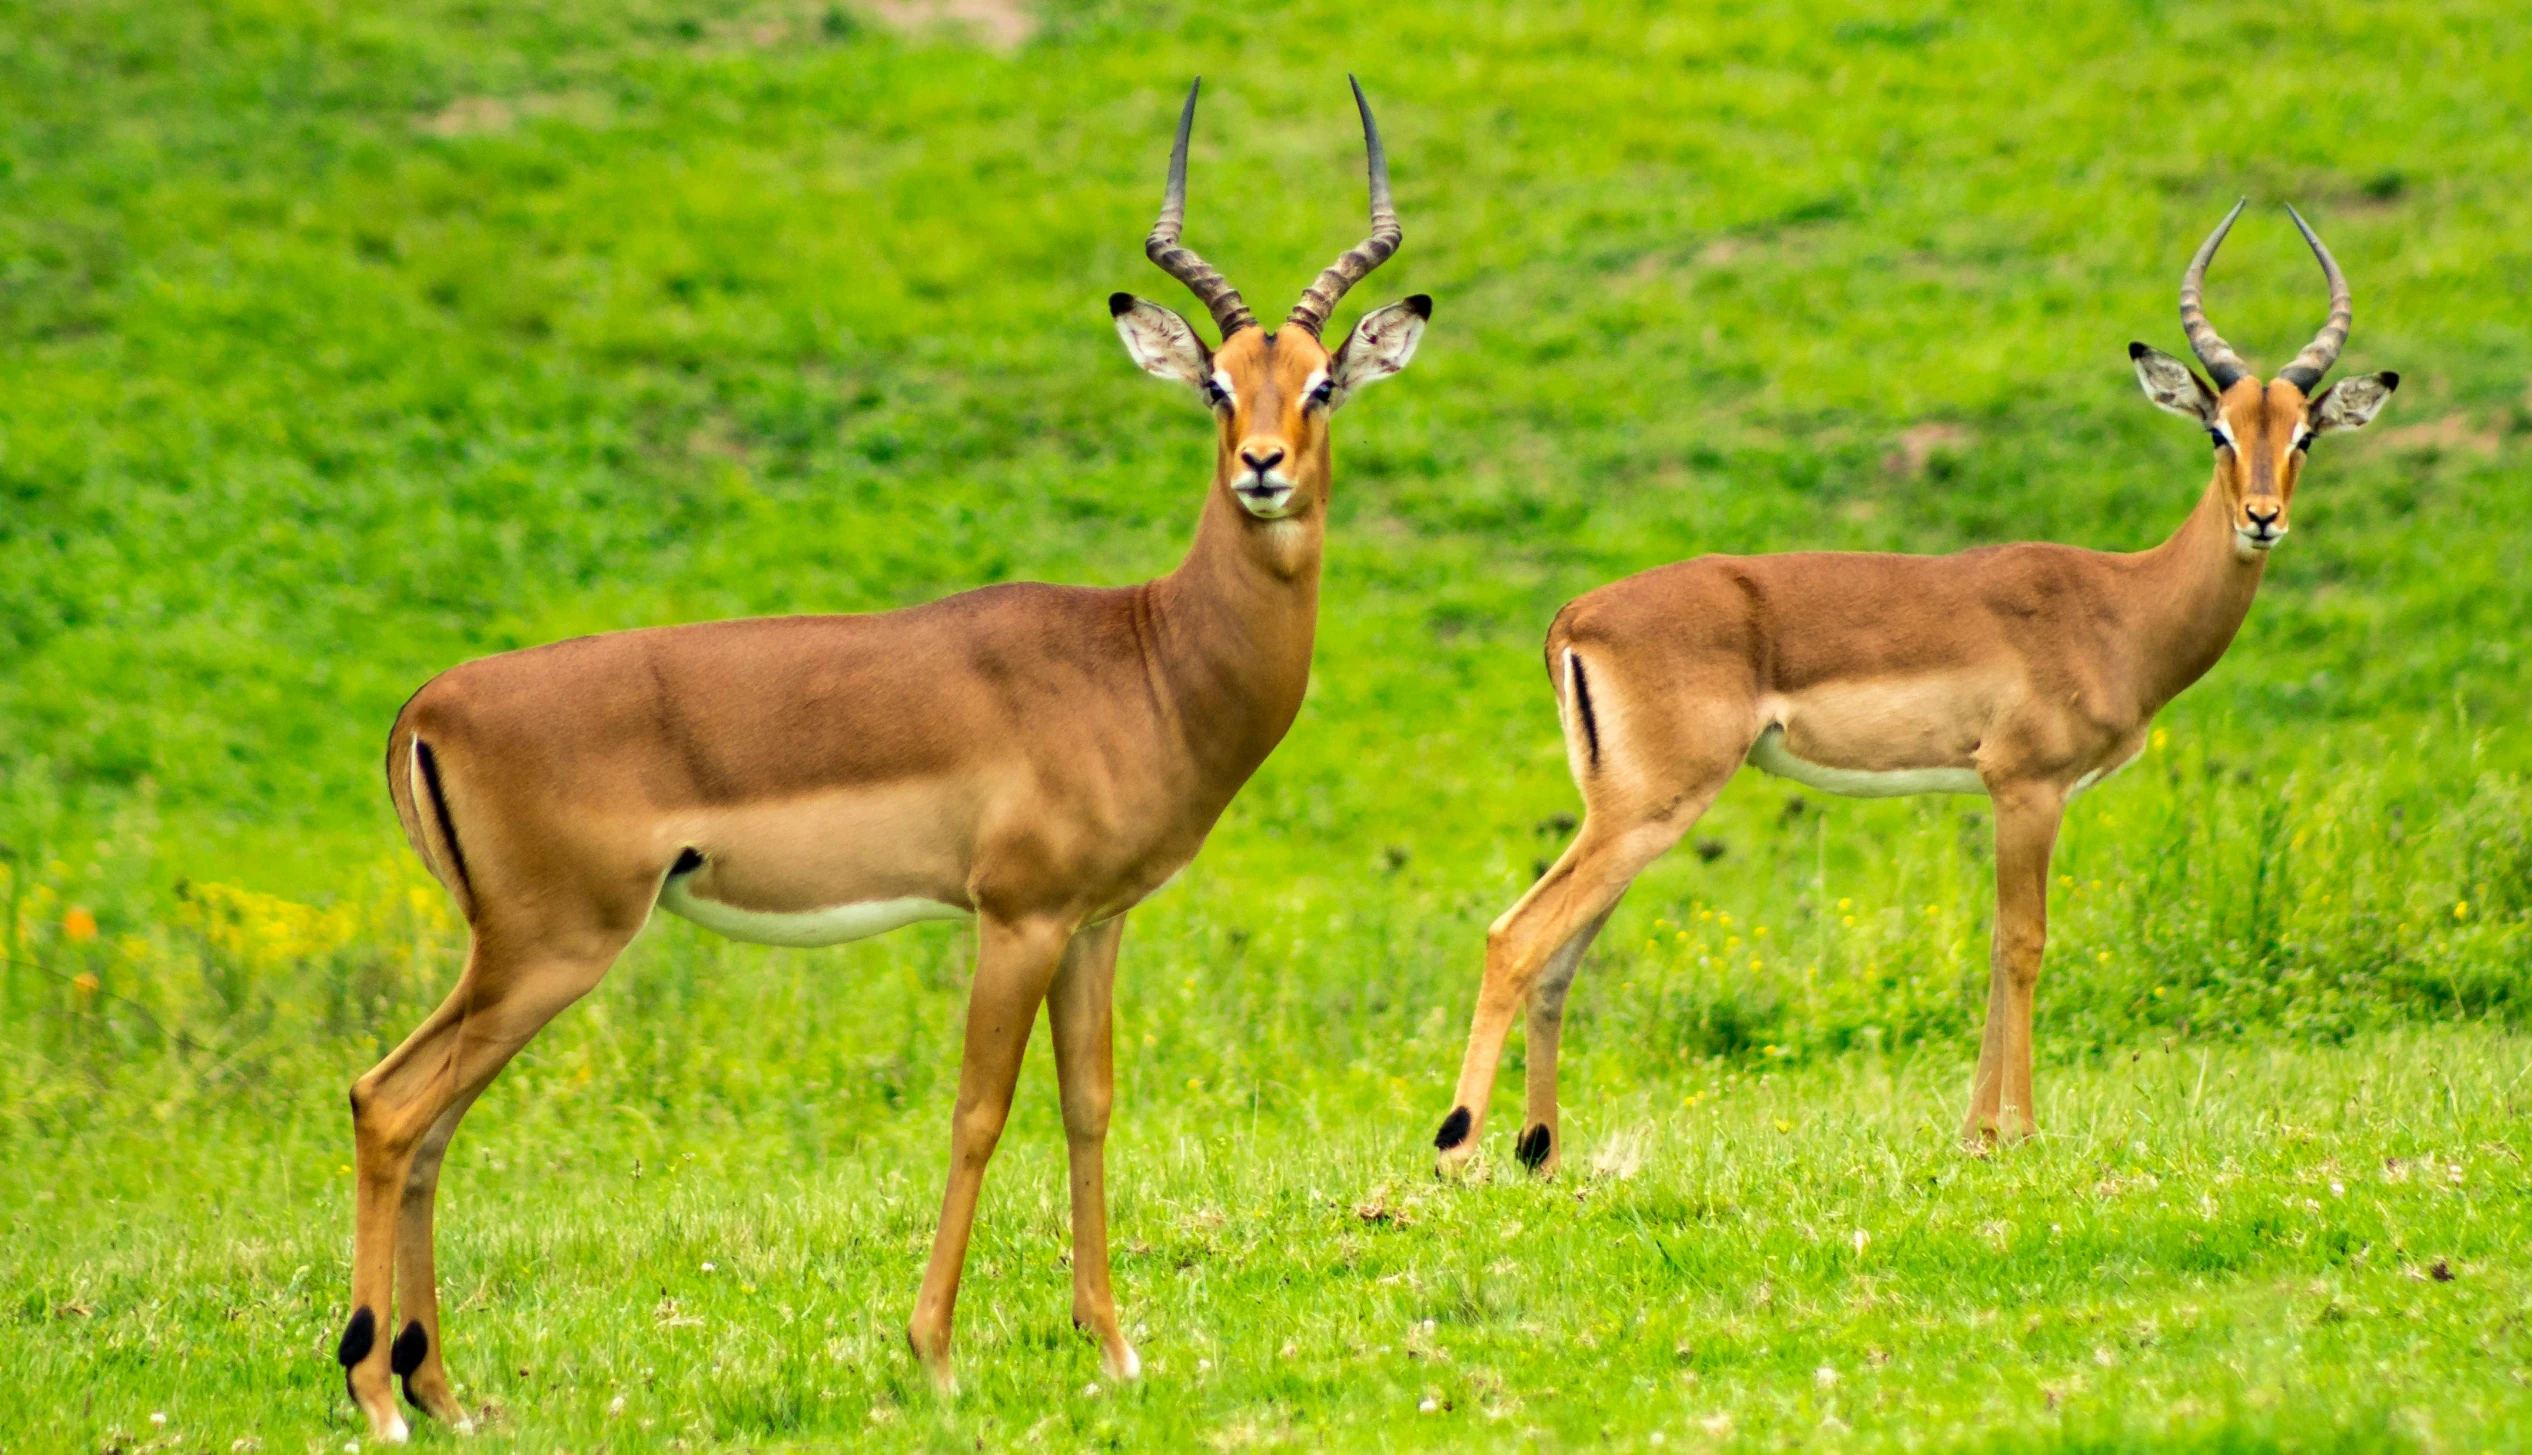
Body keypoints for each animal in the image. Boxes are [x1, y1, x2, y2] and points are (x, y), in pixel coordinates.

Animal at [339, 82, 1438, 1447]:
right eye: (1215, 388)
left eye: (1325, 383)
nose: (1263, 469)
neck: (1145, 657)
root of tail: (427, 708)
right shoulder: (1015, 919)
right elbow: (977, 1113)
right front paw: (935, 1358)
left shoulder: (1096, 925)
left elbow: (1088, 1106)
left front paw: (1115, 1350)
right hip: (550, 947)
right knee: (392, 1104)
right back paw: (377, 1396)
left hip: (510, 957)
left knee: (424, 1117)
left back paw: (441, 1391)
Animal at [1438, 207, 2400, 1184]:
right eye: (2219, 432)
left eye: (2303, 434)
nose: (2262, 518)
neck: (2122, 605)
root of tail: (1573, 617)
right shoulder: (2027, 788)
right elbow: (2025, 944)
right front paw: (2021, 1133)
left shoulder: (2011, 795)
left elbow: (1994, 947)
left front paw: (1977, 1134)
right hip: (1648, 812)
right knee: (1515, 936)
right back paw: (1455, 1148)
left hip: (1628, 819)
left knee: (1558, 960)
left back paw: (1542, 1152)